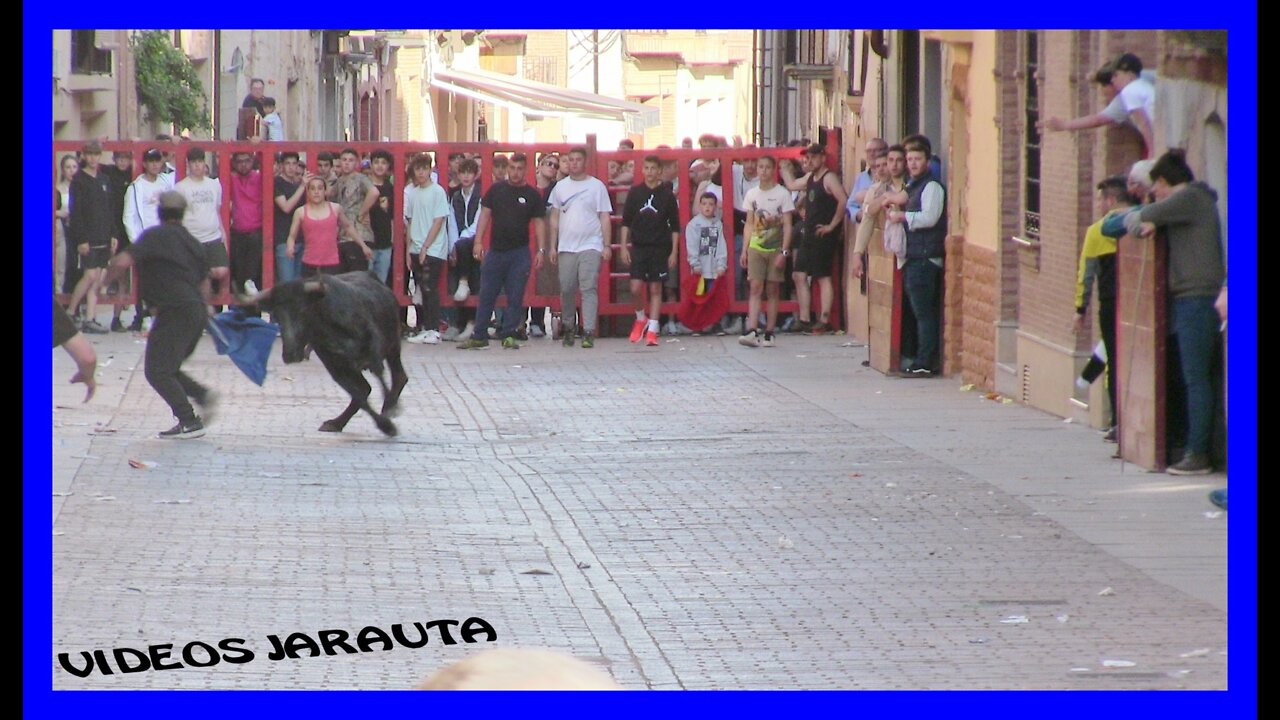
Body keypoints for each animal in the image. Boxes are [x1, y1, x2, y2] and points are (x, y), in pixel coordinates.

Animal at [236, 271, 404, 435]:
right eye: (276, 317)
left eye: (302, 310)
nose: (290, 354)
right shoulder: (335, 367)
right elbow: (359, 394)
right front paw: (385, 425)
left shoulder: (373, 350)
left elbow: (379, 376)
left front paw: (390, 411)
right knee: (366, 388)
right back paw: (337, 423)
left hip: (394, 346)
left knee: (399, 377)